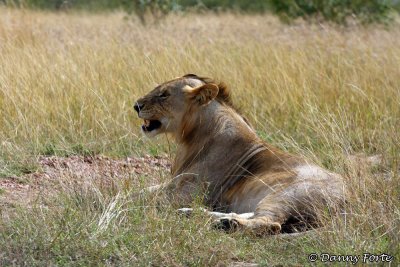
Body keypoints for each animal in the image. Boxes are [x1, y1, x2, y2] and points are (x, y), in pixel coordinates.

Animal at [134, 74, 344, 236]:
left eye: (164, 95)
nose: (136, 105)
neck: (190, 139)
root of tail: (348, 201)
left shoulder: (186, 194)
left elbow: (142, 199)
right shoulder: (173, 184)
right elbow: (140, 192)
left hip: (286, 194)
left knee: (271, 223)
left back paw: (224, 224)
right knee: (251, 214)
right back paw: (195, 214)